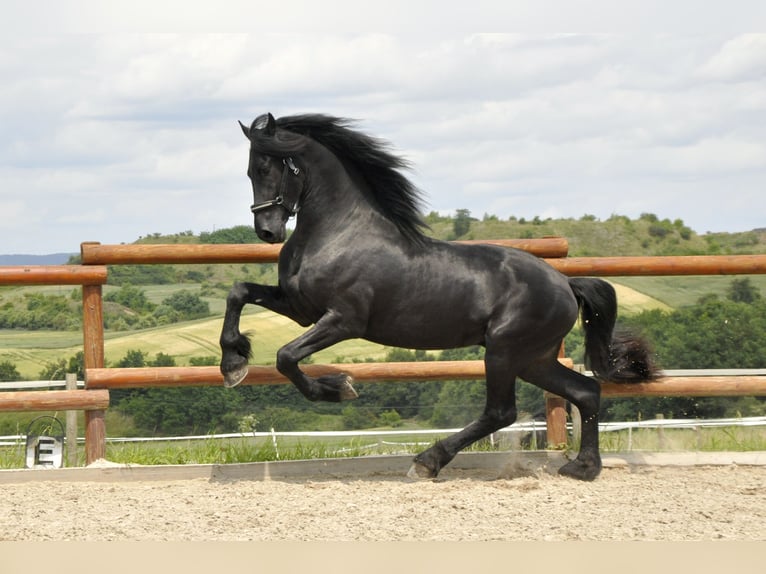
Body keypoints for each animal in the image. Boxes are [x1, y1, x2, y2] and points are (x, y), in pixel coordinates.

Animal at [219, 112, 657, 481]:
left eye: (265, 167)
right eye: (249, 170)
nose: (268, 232)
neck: (339, 233)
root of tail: (565, 283)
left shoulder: (343, 319)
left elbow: (286, 356)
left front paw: (339, 387)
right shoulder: (301, 309)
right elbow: (239, 293)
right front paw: (233, 363)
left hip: (505, 350)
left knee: (502, 411)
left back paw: (427, 462)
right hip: (534, 358)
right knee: (586, 392)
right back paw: (582, 468)